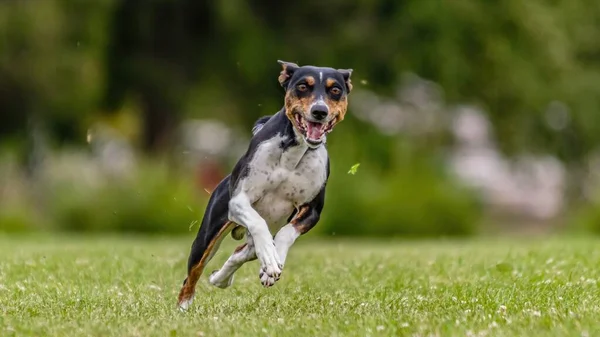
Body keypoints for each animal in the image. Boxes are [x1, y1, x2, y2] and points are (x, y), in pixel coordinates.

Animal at [178, 59, 354, 308]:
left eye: (335, 90)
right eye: (303, 86)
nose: (319, 111)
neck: (293, 151)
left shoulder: (312, 211)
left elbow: (286, 234)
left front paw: (273, 261)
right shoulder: (239, 201)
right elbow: (257, 223)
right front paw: (270, 261)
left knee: (244, 251)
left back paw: (222, 278)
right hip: (207, 236)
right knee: (193, 274)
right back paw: (184, 307)